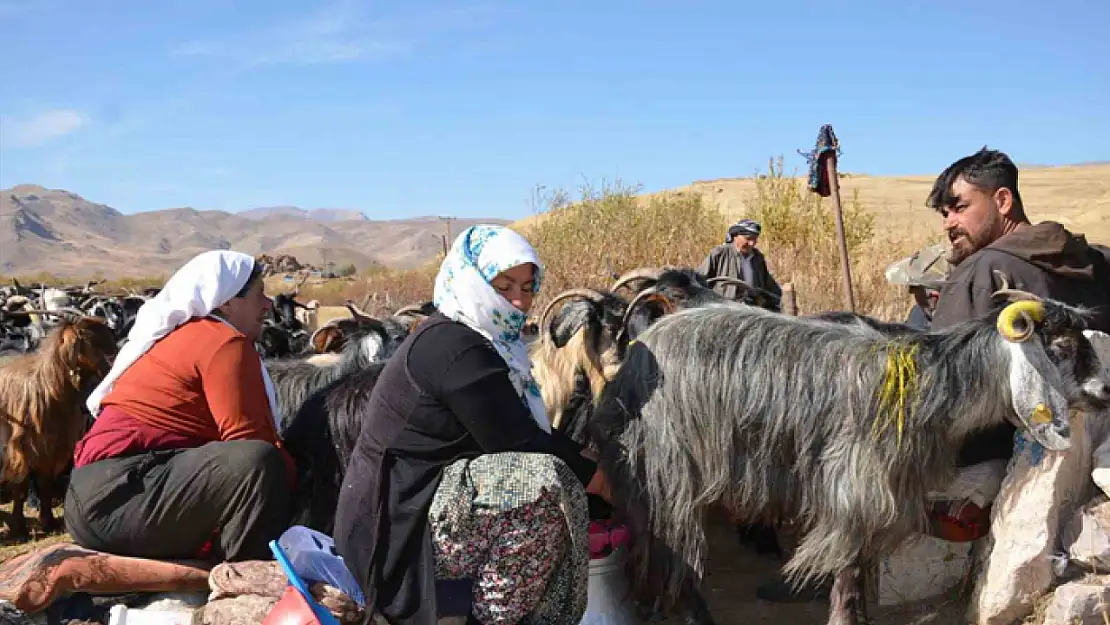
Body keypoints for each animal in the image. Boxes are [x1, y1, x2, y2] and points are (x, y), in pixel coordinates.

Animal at [0, 315, 118, 539]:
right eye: (91, 342)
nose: (111, 368)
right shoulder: (21, 449)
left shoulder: (50, 448)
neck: (48, 387)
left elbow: (45, 485)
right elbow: (20, 488)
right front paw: (20, 528)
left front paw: (48, 522)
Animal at [590, 290, 1110, 625]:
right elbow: (848, 566)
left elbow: (857, 565)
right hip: (668, 467)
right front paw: (844, 617)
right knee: (672, 545)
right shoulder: (853, 487)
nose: (1106, 391)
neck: (926, 382)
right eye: (1061, 346)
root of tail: (631, 359)